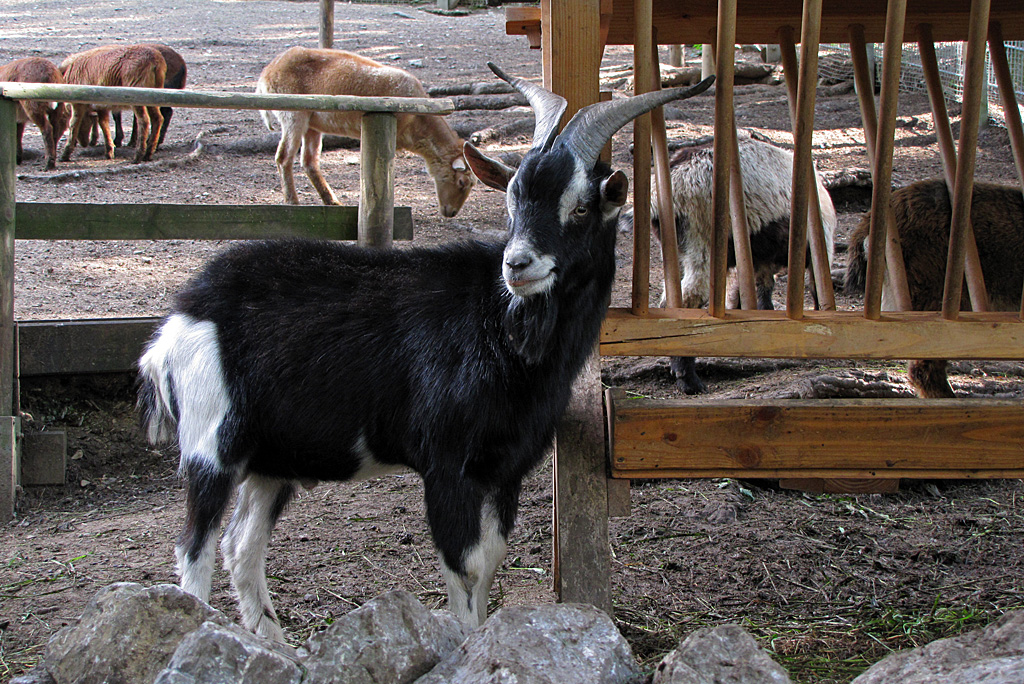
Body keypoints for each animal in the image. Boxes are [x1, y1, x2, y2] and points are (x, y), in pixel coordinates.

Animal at [256, 47, 474, 217]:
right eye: (462, 182)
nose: (451, 212)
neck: (418, 124)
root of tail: (266, 74)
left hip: (312, 124)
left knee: (309, 161)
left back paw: (332, 202)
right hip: (293, 114)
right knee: (283, 157)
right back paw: (293, 202)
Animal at [624, 136, 837, 394]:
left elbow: (755, 293)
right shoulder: (820, 245)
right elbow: (816, 291)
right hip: (704, 238)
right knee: (689, 297)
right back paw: (688, 379)